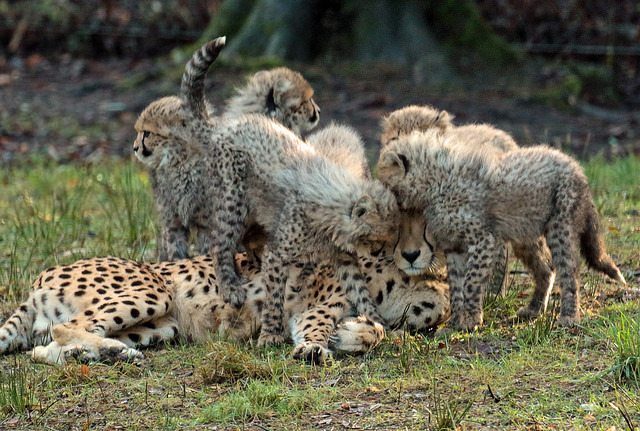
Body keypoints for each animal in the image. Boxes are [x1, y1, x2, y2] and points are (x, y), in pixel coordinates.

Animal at [380, 130, 624, 332]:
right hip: (525, 233)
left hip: (560, 227)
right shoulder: (455, 246)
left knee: (569, 272)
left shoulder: (483, 240)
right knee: (546, 268)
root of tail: (574, 165)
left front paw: (470, 320)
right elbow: (456, 286)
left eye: (384, 183)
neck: (435, 184)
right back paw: (534, 309)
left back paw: (569, 317)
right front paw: (455, 324)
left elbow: (470, 283)